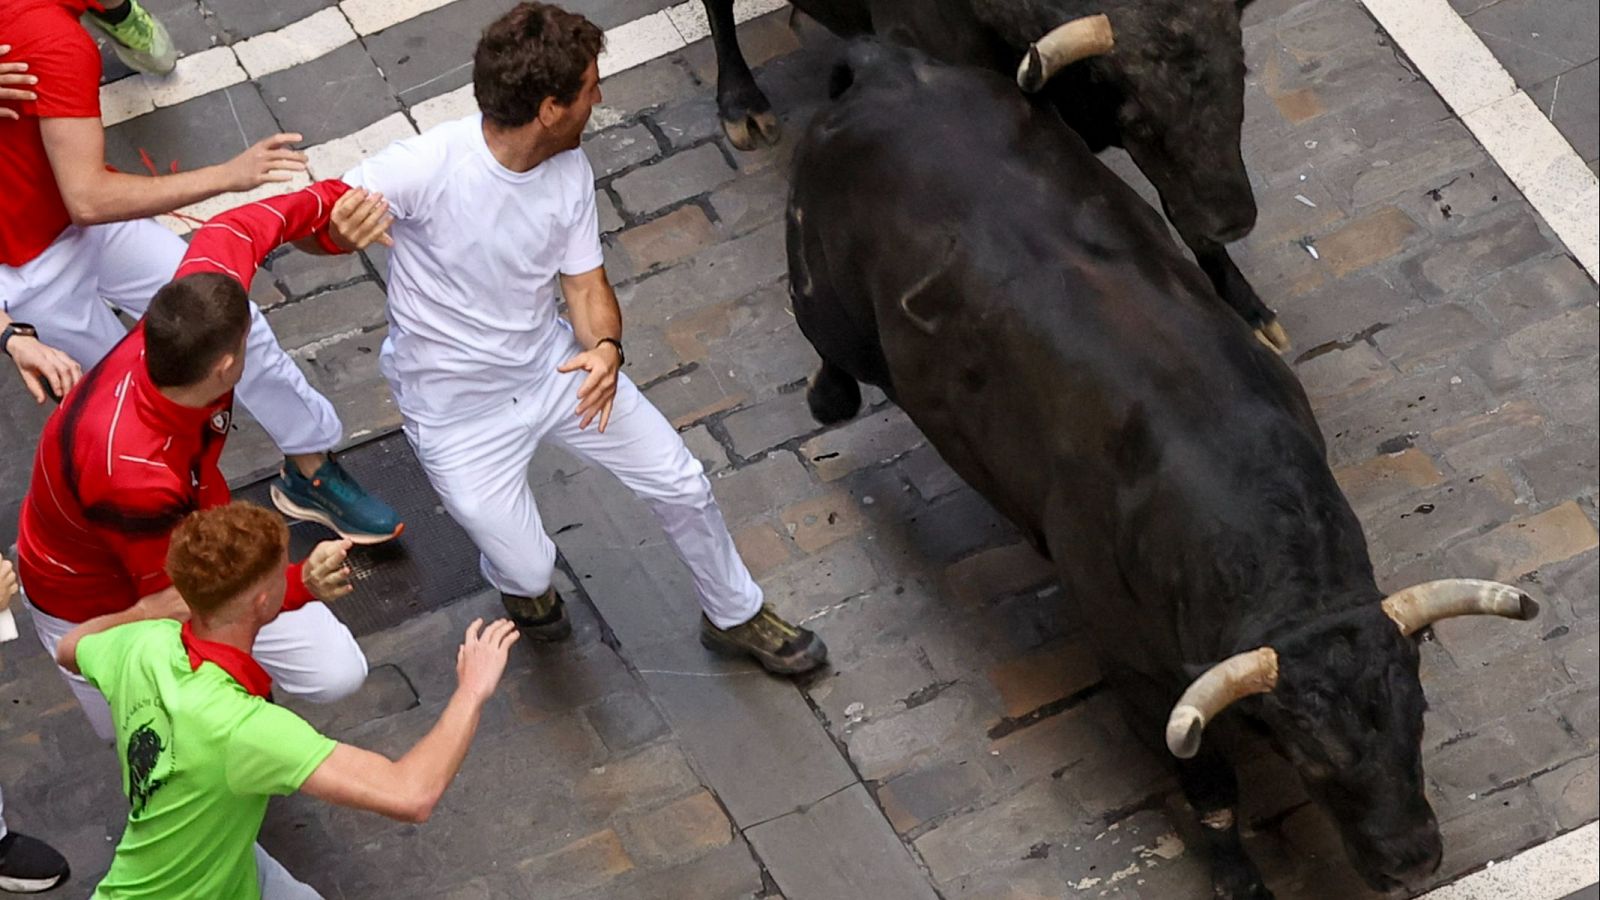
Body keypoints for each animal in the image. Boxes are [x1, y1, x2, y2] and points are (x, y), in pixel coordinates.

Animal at [787, 42, 1536, 896]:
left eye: (1418, 717)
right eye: (1311, 755)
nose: (1414, 858)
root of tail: (885, 67)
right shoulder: (1142, 681)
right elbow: (1211, 794)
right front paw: (1238, 876)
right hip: (829, 307)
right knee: (827, 348)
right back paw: (828, 397)